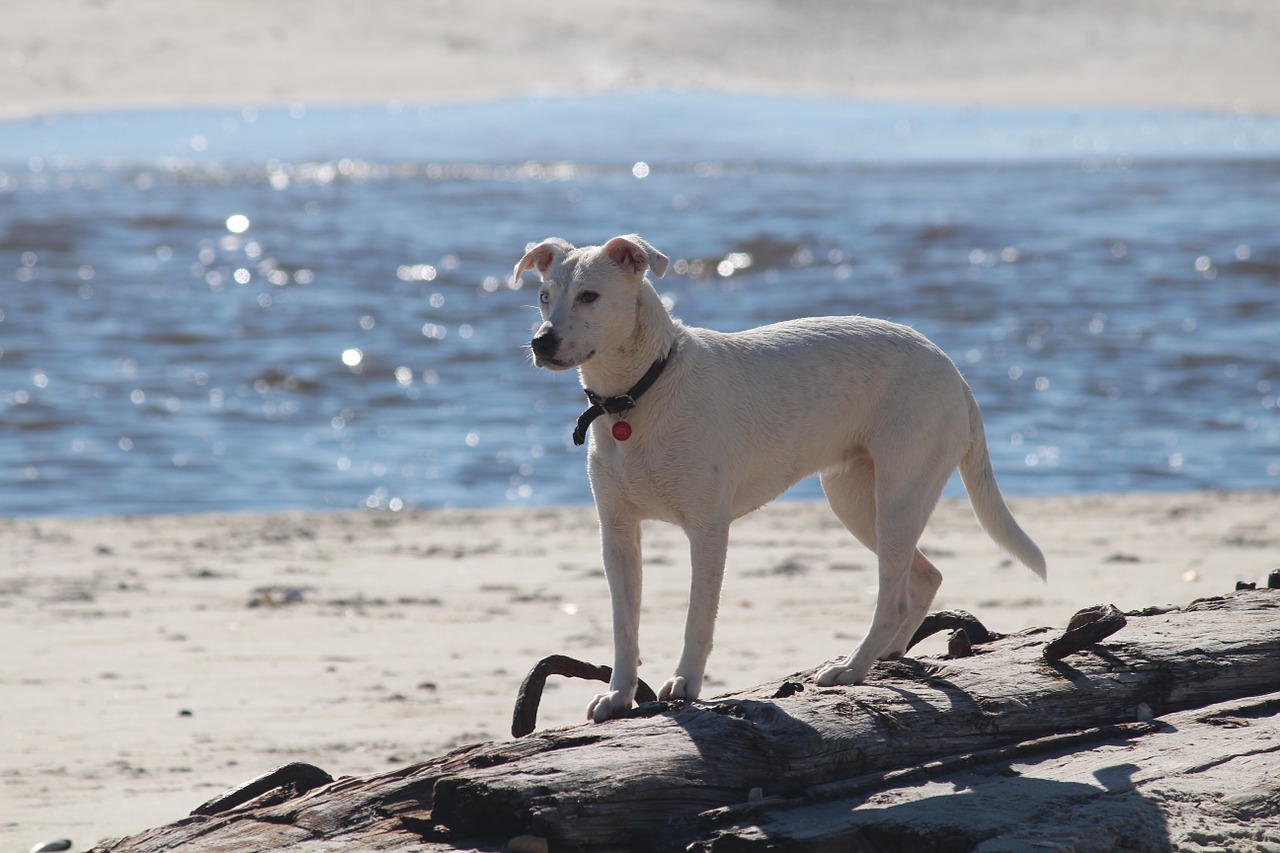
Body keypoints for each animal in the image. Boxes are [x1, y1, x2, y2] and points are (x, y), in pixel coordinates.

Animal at [514, 235, 1044, 722]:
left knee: (893, 595)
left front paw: (685, 683)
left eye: (590, 296)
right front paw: (619, 697)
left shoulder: (708, 530)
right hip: (856, 500)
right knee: (924, 576)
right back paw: (888, 652)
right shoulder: (618, 533)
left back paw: (852, 668)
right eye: (543, 295)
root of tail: (955, 372)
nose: (541, 342)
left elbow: (698, 618)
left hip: (899, 493)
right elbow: (624, 625)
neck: (637, 394)